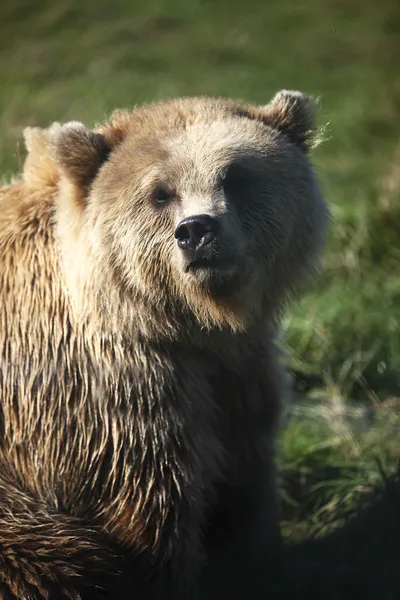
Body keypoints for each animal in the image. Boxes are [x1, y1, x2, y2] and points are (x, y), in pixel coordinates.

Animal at [0, 90, 328, 600]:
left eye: (235, 176)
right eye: (159, 192)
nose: (197, 230)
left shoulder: (238, 378)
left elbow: (245, 486)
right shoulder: (117, 401)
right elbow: (152, 524)